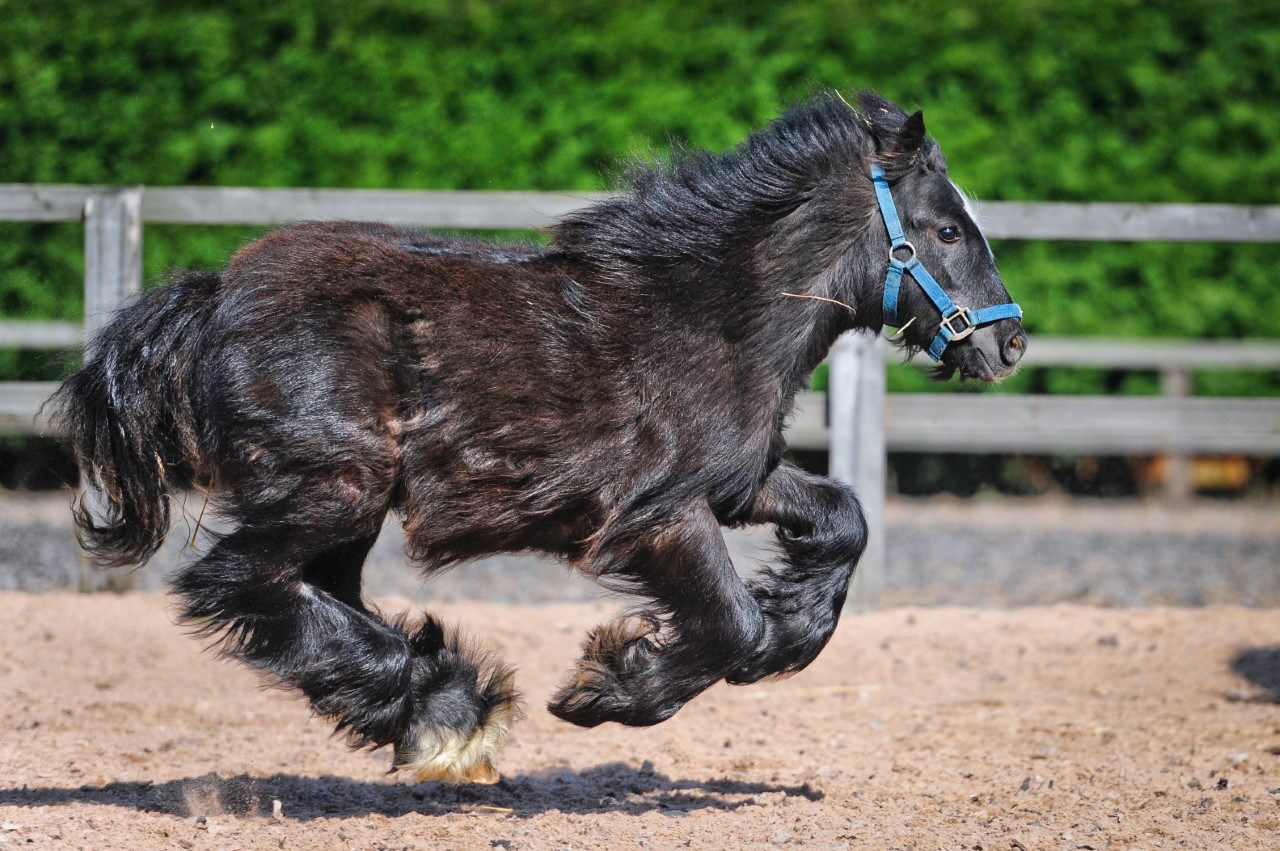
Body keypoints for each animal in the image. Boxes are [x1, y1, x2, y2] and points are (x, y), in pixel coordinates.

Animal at [52, 89, 1029, 778]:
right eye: (947, 228)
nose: (1010, 342)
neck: (706, 317)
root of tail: (214, 295)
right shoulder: (658, 515)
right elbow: (730, 625)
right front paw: (610, 687)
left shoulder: (737, 483)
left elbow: (842, 520)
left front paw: (796, 626)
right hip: (332, 489)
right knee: (234, 582)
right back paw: (448, 715)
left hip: (346, 508)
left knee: (312, 594)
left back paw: (435, 706)